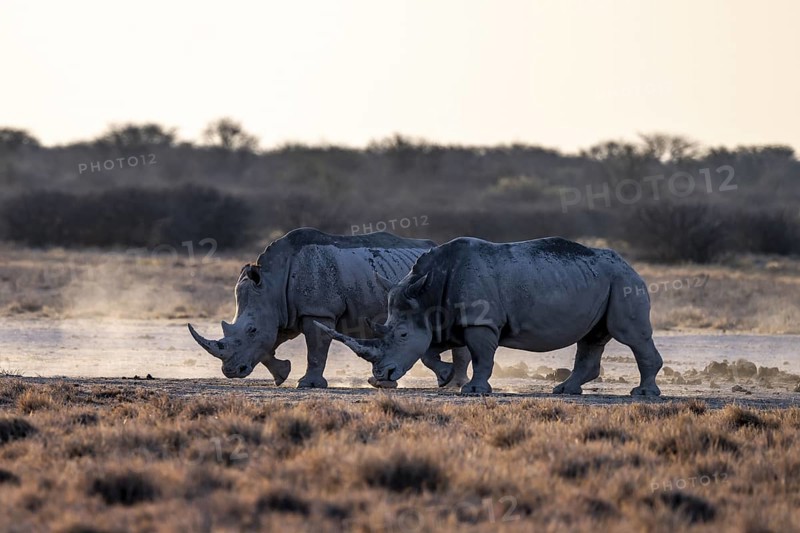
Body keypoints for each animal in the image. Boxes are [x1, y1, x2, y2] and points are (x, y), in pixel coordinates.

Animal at [188, 228, 470, 388]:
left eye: (251, 330)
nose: (230, 372)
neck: (271, 282)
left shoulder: (317, 310)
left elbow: (315, 349)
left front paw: (308, 385)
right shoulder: (283, 311)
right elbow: (268, 345)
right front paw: (281, 375)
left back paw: (453, 385)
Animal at [316, 236, 663, 396]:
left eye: (400, 335)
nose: (379, 379)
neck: (427, 294)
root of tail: (629, 265)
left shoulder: (480, 322)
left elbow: (482, 356)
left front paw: (473, 390)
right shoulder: (443, 320)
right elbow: (428, 352)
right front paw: (446, 378)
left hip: (622, 281)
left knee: (629, 335)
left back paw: (643, 394)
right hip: (602, 280)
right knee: (592, 338)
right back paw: (565, 391)